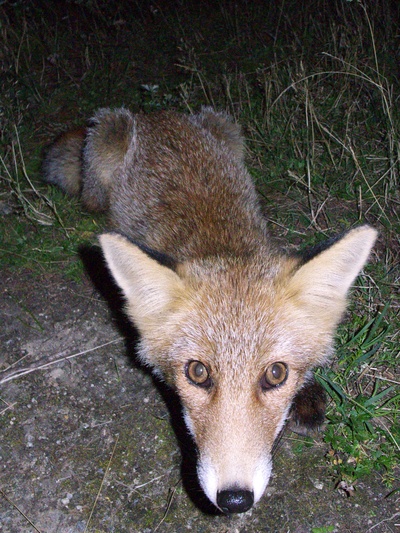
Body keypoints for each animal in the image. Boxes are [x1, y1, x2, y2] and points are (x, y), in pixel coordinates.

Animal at [42, 107, 376, 512]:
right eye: (197, 372)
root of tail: (155, 113)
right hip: (106, 150)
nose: (234, 499)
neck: (220, 243)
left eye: (276, 374)